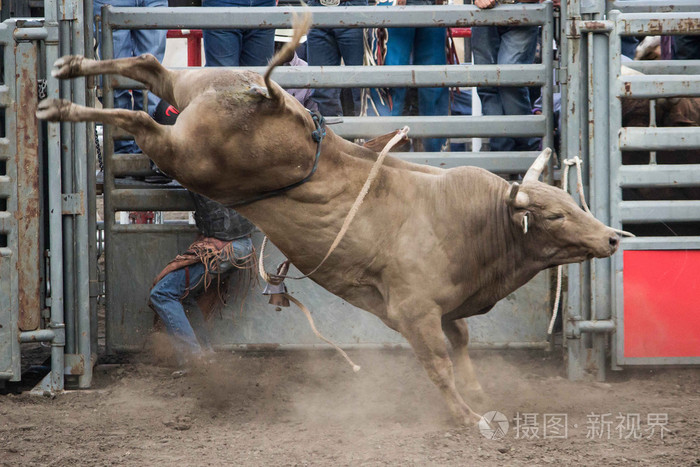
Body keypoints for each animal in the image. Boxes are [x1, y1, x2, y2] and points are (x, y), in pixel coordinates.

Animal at [35, 17, 620, 428]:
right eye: (554, 213)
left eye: (573, 204)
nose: (614, 236)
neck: (475, 223)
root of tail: (271, 98)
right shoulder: (414, 311)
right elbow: (438, 362)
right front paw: (467, 416)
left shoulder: (445, 308)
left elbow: (462, 344)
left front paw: (477, 394)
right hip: (188, 155)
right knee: (135, 116)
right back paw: (59, 107)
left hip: (191, 92)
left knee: (147, 68)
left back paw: (68, 69)